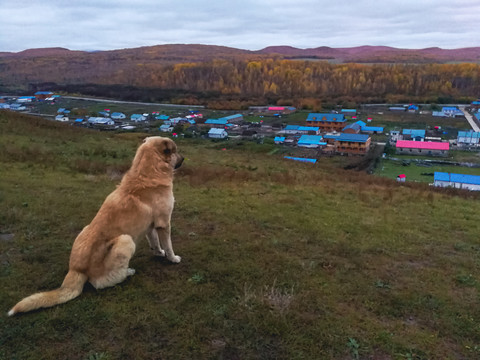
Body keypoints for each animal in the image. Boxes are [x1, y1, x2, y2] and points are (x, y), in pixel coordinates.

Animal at [7, 136, 184, 316]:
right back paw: (128, 272)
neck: (149, 171)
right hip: (125, 240)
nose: (183, 159)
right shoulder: (164, 223)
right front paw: (172, 258)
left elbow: (155, 242)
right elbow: (168, 245)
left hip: (86, 229)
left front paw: (158, 253)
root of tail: (76, 269)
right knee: (100, 282)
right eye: (175, 151)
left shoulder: (150, 226)